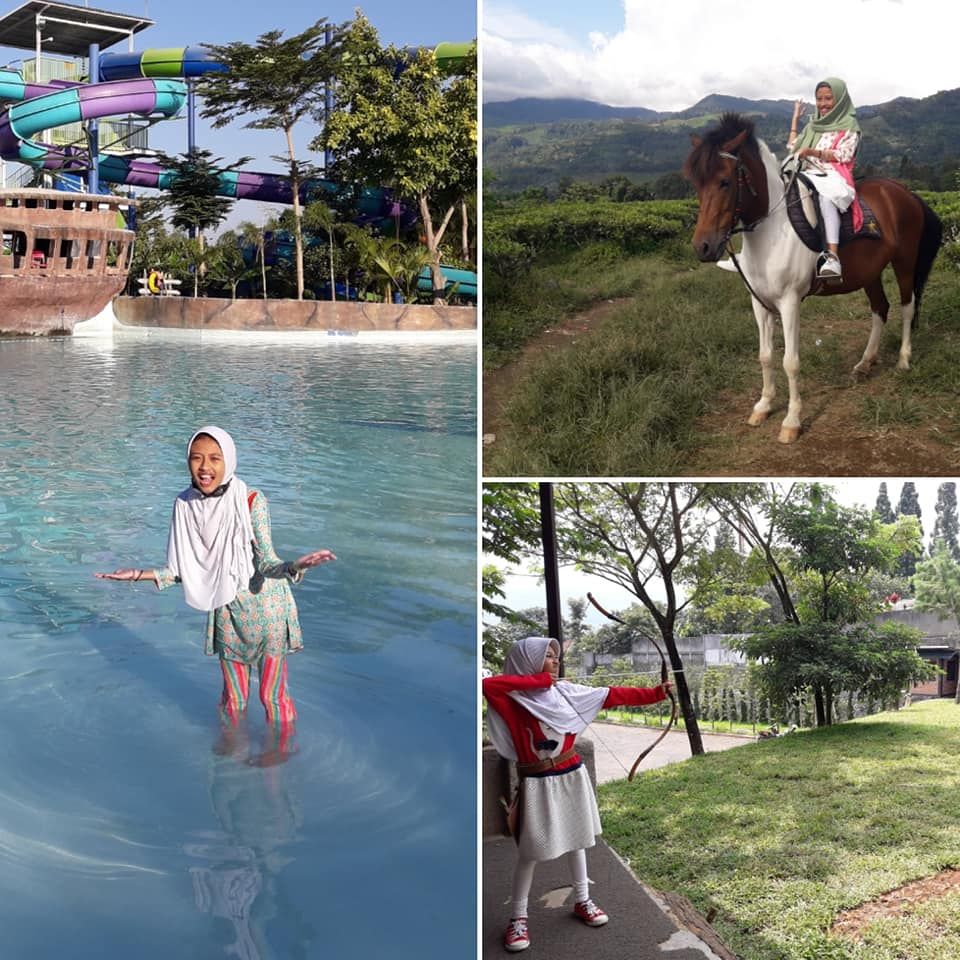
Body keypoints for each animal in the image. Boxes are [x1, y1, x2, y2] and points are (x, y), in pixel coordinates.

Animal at [684, 114, 944, 444]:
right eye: (696, 183)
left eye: (725, 182)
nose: (703, 247)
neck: (772, 229)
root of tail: (905, 192)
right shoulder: (759, 302)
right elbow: (765, 355)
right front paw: (763, 406)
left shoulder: (789, 302)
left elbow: (790, 362)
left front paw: (792, 422)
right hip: (871, 272)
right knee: (880, 309)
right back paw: (865, 362)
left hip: (905, 263)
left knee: (907, 308)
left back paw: (903, 360)